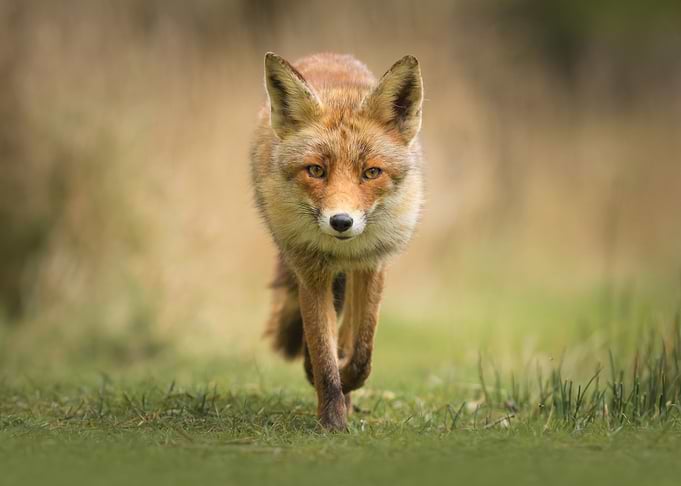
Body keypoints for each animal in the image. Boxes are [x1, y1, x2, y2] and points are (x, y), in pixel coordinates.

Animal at [250, 52, 424, 431]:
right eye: (316, 170)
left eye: (371, 172)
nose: (341, 222)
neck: (341, 250)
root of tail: (330, 56)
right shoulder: (311, 271)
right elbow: (322, 352)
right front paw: (332, 421)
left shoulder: (373, 264)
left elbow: (361, 352)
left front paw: (347, 385)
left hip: (353, 274)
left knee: (347, 335)